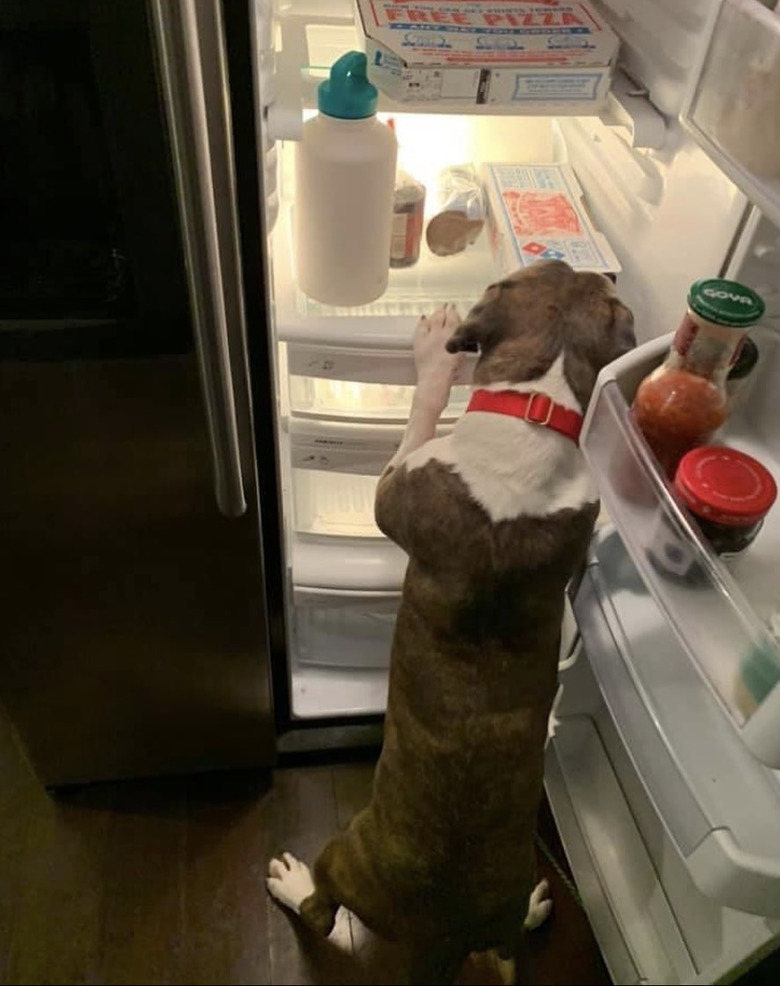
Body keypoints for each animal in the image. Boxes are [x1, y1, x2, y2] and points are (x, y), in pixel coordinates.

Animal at [266, 258, 632, 980]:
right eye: (566, 271)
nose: (591, 264)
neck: (537, 404)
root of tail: (450, 931)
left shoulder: (394, 485)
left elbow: (422, 410)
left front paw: (435, 356)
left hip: (343, 852)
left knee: (322, 911)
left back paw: (294, 886)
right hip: (505, 898)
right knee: (509, 937)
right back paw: (533, 912)